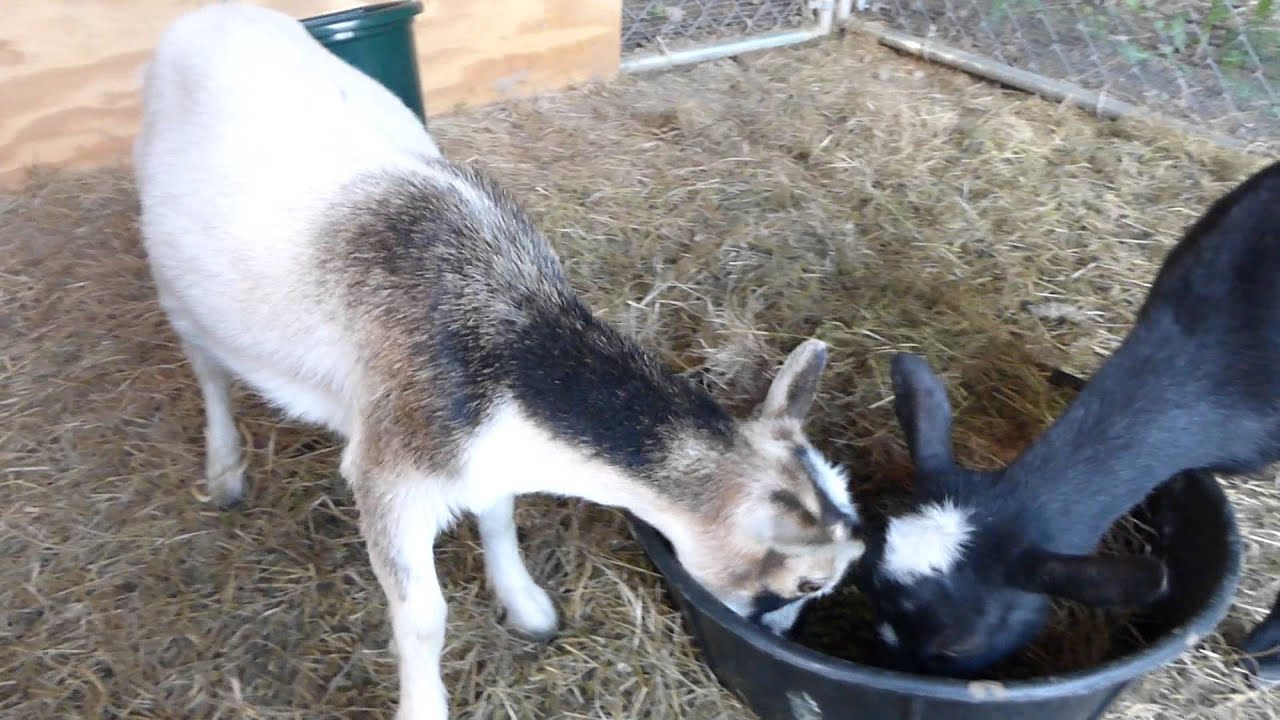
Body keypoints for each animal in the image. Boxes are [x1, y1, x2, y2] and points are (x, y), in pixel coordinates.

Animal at [133, 4, 864, 717]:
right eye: (808, 580)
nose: (781, 633)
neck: (510, 334)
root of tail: (206, 17)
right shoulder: (391, 472)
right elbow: (423, 617)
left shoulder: (482, 454)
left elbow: (498, 516)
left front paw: (526, 605)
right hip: (173, 279)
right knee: (207, 370)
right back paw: (225, 472)